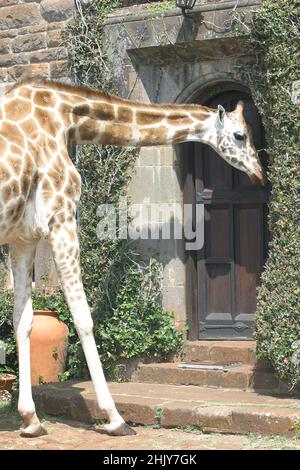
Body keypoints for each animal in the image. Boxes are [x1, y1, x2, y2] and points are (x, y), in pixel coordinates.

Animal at [0, 80, 268, 436]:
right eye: (240, 135)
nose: (260, 176)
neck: (65, 118)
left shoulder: (23, 238)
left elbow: (23, 321)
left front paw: (30, 420)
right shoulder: (61, 219)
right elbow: (83, 318)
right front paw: (114, 417)